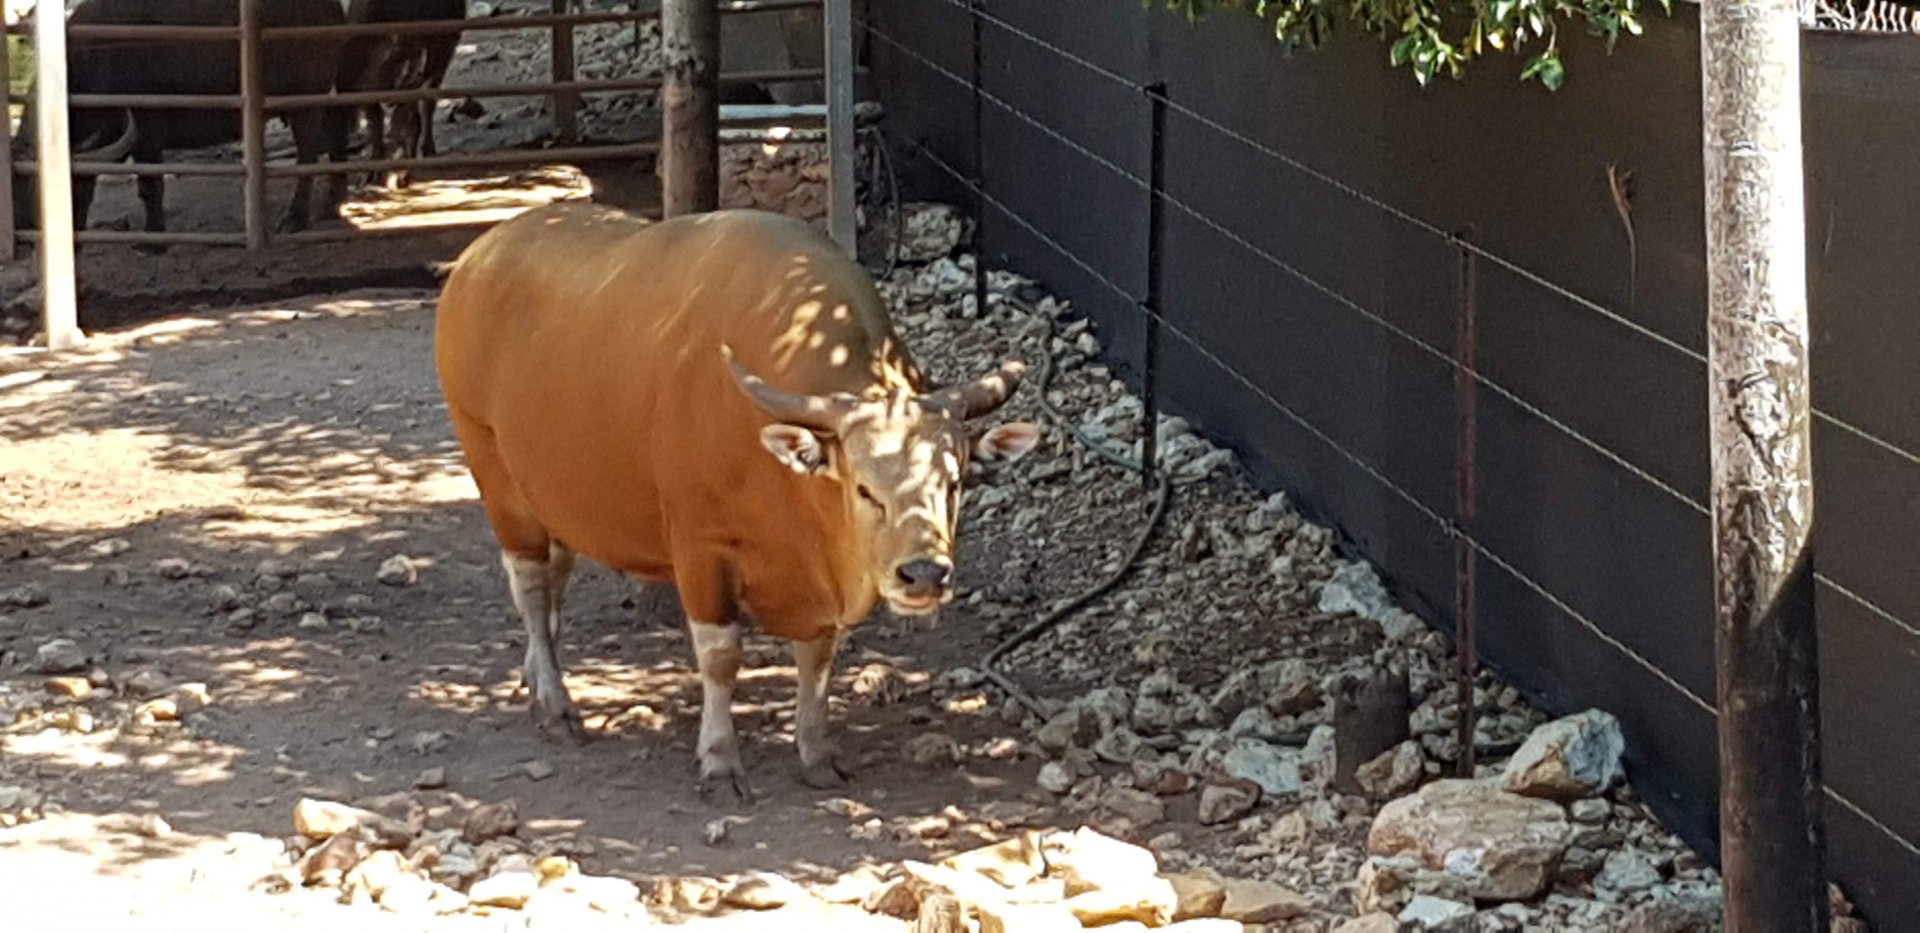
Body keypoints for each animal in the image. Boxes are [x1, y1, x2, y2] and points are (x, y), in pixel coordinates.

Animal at [10, 0, 354, 238]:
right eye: (13, 182)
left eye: (34, 185)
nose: (24, 227)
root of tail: (332, 10)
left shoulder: (148, 128)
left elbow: (150, 185)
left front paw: (153, 237)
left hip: (306, 102)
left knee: (308, 158)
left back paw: (295, 218)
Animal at [434, 203, 1041, 797]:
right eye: (865, 487)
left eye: (954, 481)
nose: (923, 575)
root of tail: (475, 260)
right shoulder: (699, 546)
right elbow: (721, 656)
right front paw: (720, 757)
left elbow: (818, 657)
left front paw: (815, 752)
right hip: (491, 466)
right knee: (532, 585)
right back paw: (556, 703)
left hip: (547, 493)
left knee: (555, 574)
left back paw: (534, 675)